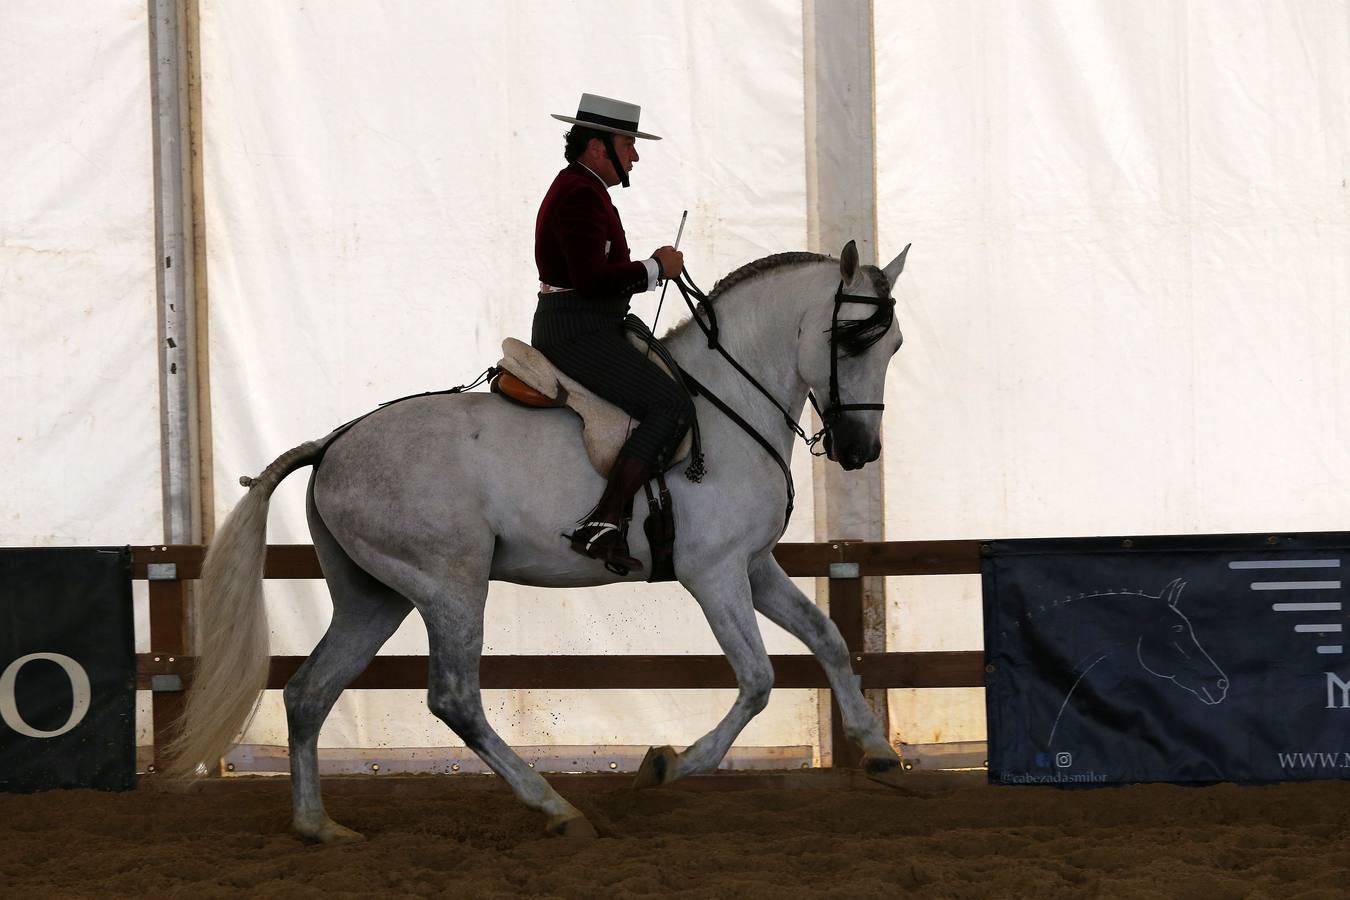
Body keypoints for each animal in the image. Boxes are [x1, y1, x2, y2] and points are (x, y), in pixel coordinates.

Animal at [163, 238, 912, 847]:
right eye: (852, 341)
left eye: (893, 346)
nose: (859, 451)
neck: (729, 402)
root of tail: (332, 444)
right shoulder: (715, 573)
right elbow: (757, 681)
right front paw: (666, 766)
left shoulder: (753, 566)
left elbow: (827, 639)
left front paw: (878, 753)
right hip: (451, 587)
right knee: (454, 700)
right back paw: (557, 809)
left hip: (373, 598)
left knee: (309, 693)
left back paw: (319, 826)